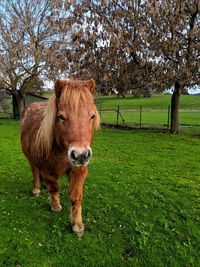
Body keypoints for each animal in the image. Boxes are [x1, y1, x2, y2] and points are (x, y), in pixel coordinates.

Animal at [20, 79, 100, 237]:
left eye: (92, 116)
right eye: (61, 117)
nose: (81, 155)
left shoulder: (78, 171)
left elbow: (76, 197)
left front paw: (77, 225)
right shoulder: (48, 170)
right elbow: (54, 188)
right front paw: (55, 205)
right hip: (31, 159)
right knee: (35, 171)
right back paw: (37, 188)